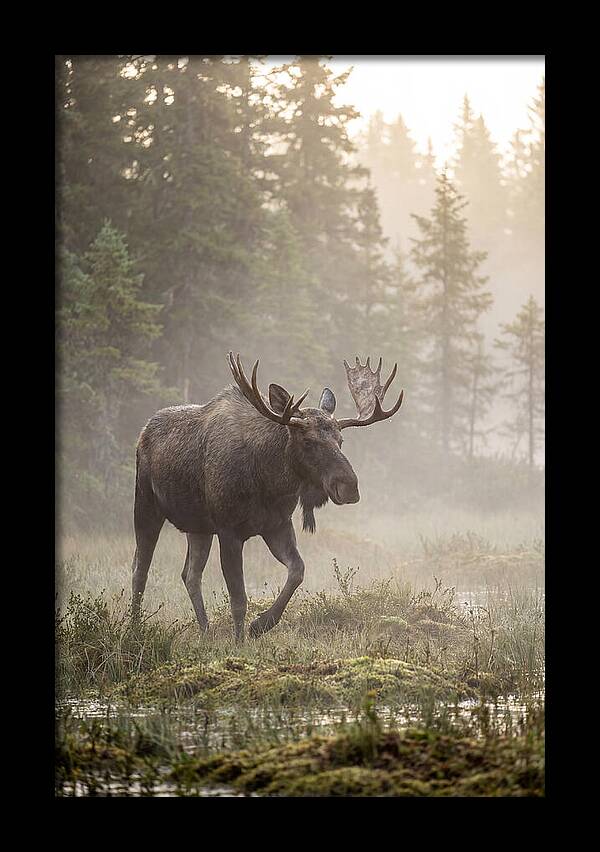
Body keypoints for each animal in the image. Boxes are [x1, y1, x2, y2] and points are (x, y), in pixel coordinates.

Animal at [132, 352, 404, 640]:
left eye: (341, 441)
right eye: (307, 441)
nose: (349, 486)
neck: (269, 482)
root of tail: (143, 432)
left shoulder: (277, 525)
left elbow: (297, 571)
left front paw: (261, 624)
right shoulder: (228, 530)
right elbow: (239, 598)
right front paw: (239, 641)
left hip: (198, 526)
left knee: (190, 574)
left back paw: (205, 630)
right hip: (146, 505)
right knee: (140, 568)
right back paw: (135, 627)